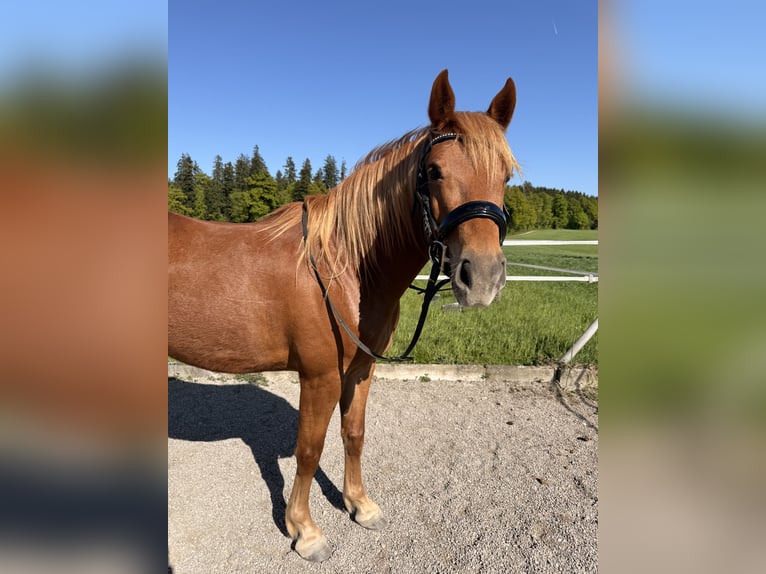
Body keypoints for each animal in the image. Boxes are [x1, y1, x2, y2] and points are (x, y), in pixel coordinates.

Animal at [168, 69, 519, 562]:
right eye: (434, 171)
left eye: (505, 174)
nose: (482, 278)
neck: (344, 267)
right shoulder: (320, 376)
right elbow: (309, 449)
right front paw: (304, 530)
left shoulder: (361, 369)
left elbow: (354, 434)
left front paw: (360, 506)